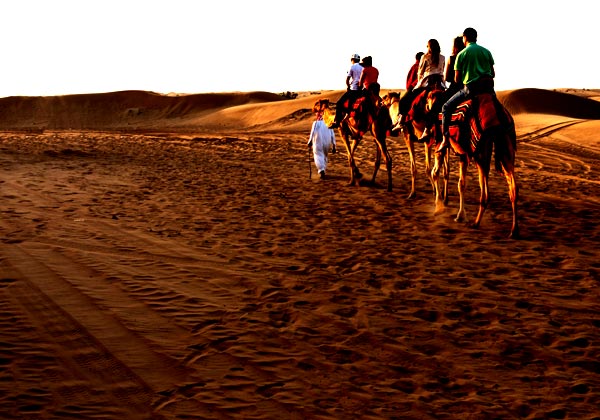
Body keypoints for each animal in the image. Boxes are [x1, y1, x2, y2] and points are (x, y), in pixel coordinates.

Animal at [432, 95, 520, 240]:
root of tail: (499, 118)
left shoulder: (449, 147)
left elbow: (445, 177)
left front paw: (445, 209)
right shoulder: (462, 153)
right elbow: (459, 182)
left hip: (481, 152)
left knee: (485, 194)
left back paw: (476, 223)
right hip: (505, 146)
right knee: (513, 188)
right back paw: (514, 230)